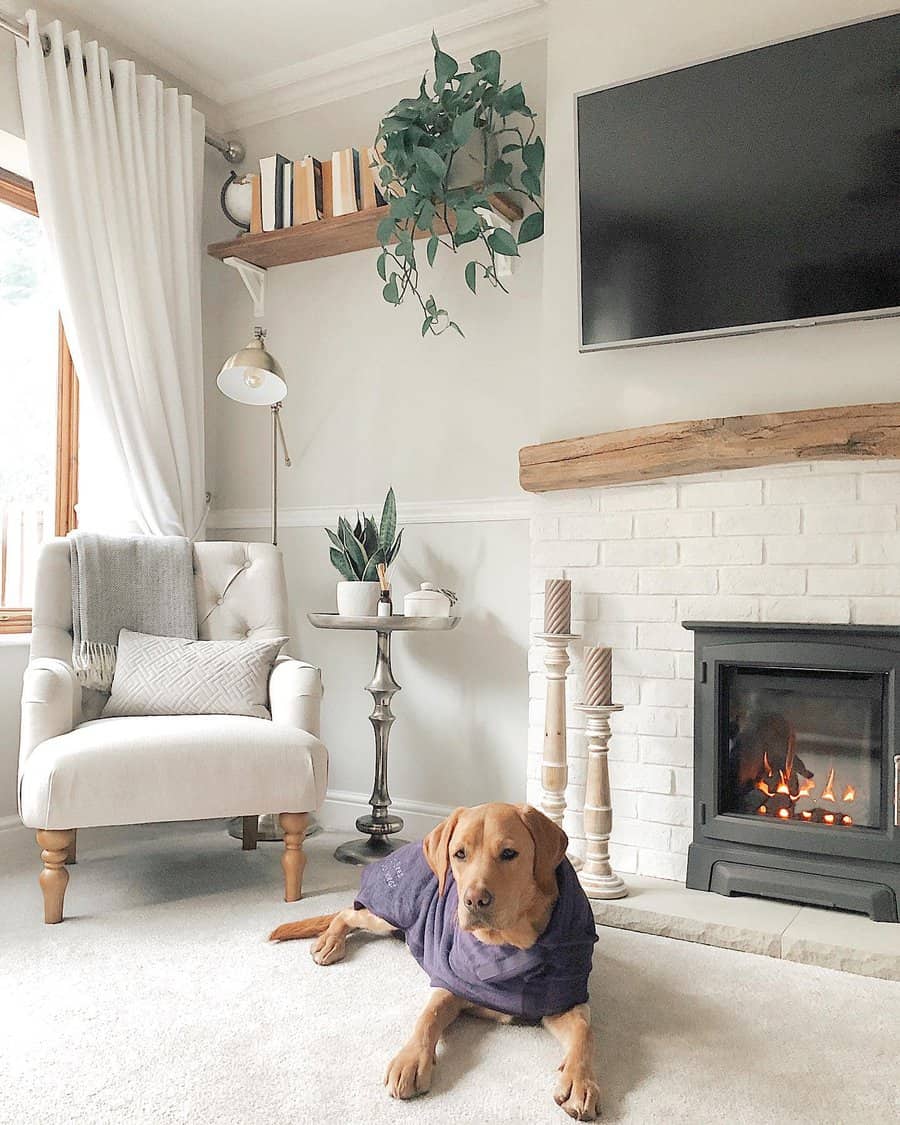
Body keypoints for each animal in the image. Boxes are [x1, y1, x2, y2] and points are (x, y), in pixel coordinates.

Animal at [271, 805, 603, 1120]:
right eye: (459, 854)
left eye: (509, 854)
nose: (474, 901)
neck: (507, 944)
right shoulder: (450, 982)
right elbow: (427, 1016)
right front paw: (410, 1060)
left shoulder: (565, 1000)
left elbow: (585, 1033)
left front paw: (580, 1082)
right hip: (388, 916)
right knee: (347, 912)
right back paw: (329, 941)